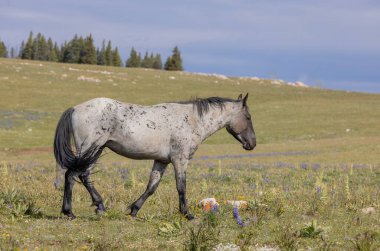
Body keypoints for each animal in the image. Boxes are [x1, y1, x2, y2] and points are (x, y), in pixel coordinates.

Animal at [53, 93, 255, 219]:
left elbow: (151, 187)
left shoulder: (161, 161)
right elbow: (181, 187)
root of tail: (75, 108)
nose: (252, 143)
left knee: (83, 176)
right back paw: (70, 212)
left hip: (96, 151)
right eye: (248, 117)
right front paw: (187, 214)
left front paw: (134, 210)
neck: (192, 120)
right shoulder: (180, 160)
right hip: (90, 150)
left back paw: (99, 206)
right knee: (72, 175)